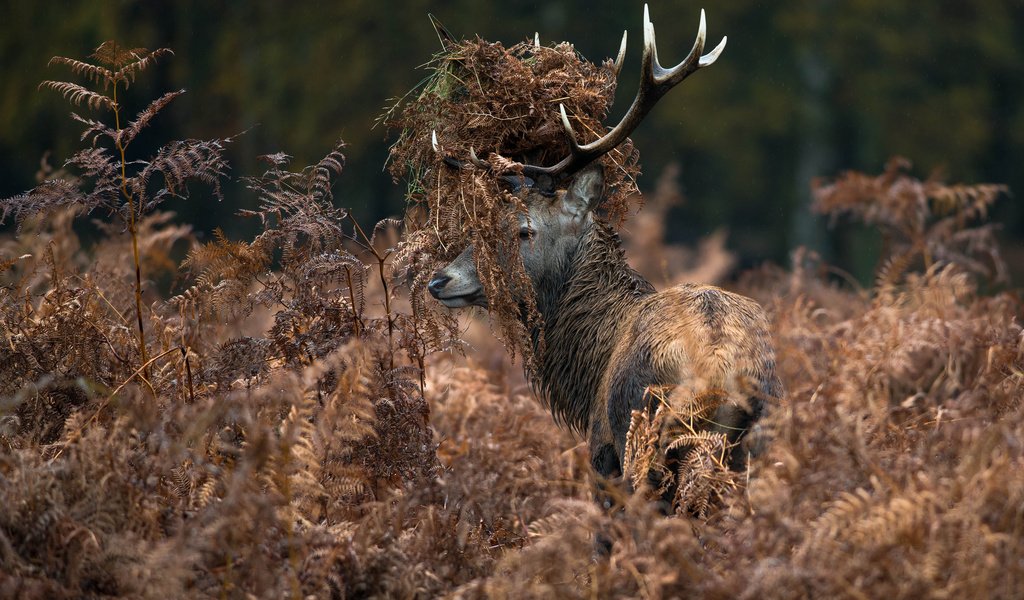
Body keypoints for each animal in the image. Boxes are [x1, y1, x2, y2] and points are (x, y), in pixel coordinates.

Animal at [428, 5, 778, 499]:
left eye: (523, 230)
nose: (439, 280)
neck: (587, 373)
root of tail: (720, 374)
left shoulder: (602, 455)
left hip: (644, 445)